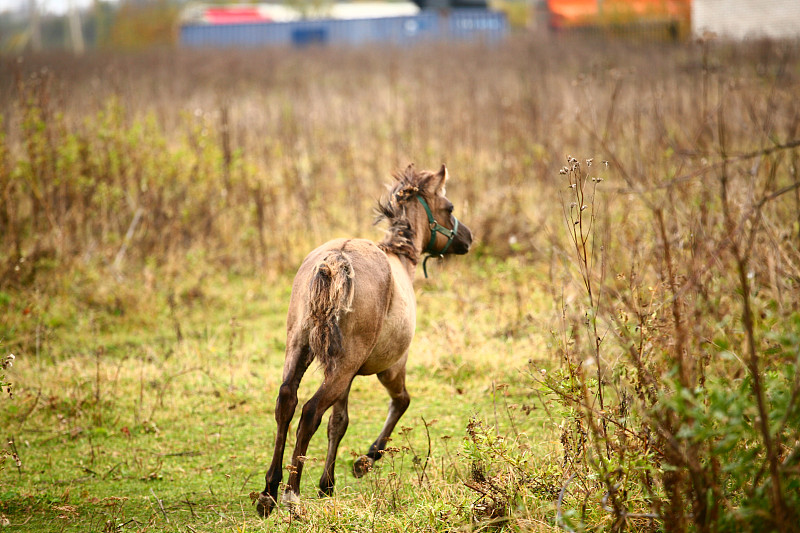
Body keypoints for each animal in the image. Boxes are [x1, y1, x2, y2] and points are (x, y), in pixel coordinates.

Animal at [256, 163, 472, 516]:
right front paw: (365, 461)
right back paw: (292, 494)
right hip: (346, 365)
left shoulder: (347, 375)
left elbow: (338, 423)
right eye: (449, 207)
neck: (401, 261)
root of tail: (336, 259)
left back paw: (269, 492)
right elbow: (400, 402)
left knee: (286, 402)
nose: (468, 238)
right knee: (310, 412)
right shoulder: (391, 368)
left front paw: (327, 485)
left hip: (301, 349)